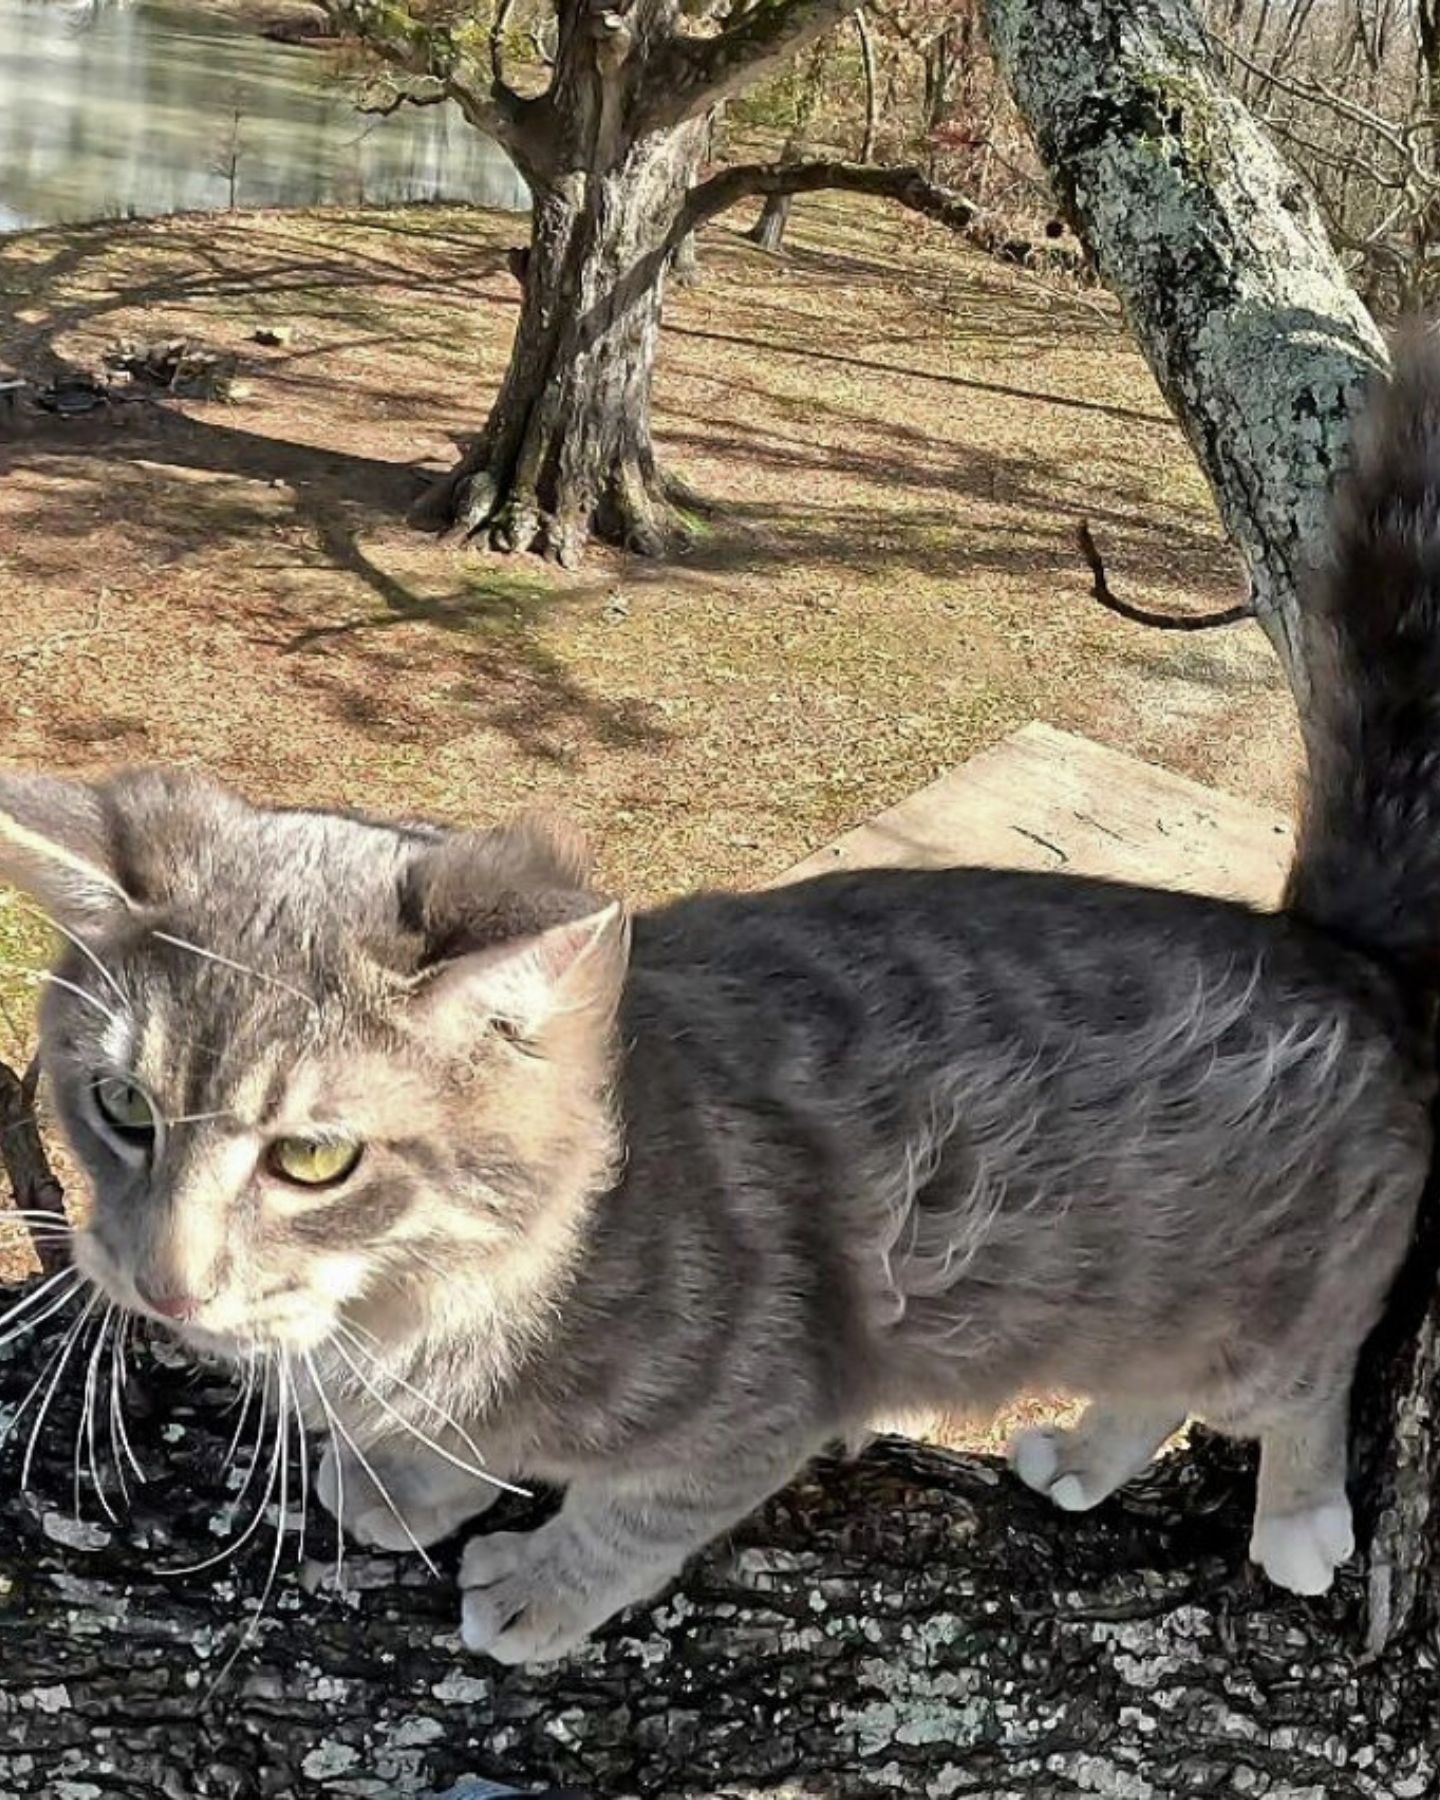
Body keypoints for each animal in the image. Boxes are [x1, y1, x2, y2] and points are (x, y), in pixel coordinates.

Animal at [2, 343, 1440, 1663]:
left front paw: (543, 1580)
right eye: (120, 1104)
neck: (423, 1305)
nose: (160, 1283)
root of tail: (1327, 944)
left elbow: (644, 1508)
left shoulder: (766, 1394)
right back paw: (1087, 1458)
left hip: (1275, 1305)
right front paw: (412, 1475)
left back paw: (1296, 1514)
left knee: (1301, 1385)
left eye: (313, 1157)